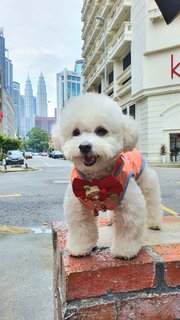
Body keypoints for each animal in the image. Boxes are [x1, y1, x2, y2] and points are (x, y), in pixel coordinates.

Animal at [52, 92, 162, 258]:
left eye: (101, 131)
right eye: (75, 132)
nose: (84, 146)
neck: (97, 180)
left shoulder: (130, 206)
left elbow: (127, 228)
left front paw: (124, 251)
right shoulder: (77, 206)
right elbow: (81, 228)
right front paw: (79, 248)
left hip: (147, 181)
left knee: (152, 201)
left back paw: (154, 222)